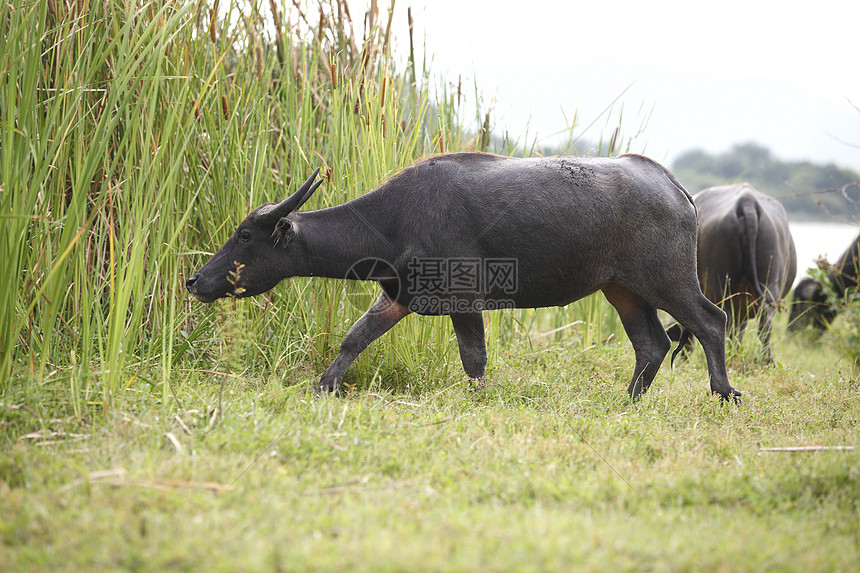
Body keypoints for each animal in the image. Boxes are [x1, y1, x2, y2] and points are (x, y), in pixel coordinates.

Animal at [186, 154, 740, 400]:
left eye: (244, 236)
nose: (194, 281)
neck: (395, 220)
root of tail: (675, 186)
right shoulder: (398, 296)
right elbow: (353, 339)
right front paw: (326, 386)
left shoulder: (464, 301)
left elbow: (474, 359)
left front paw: (479, 401)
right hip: (621, 288)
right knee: (652, 344)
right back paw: (627, 400)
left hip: (668, 280)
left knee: (711, 321)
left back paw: (723, 391)